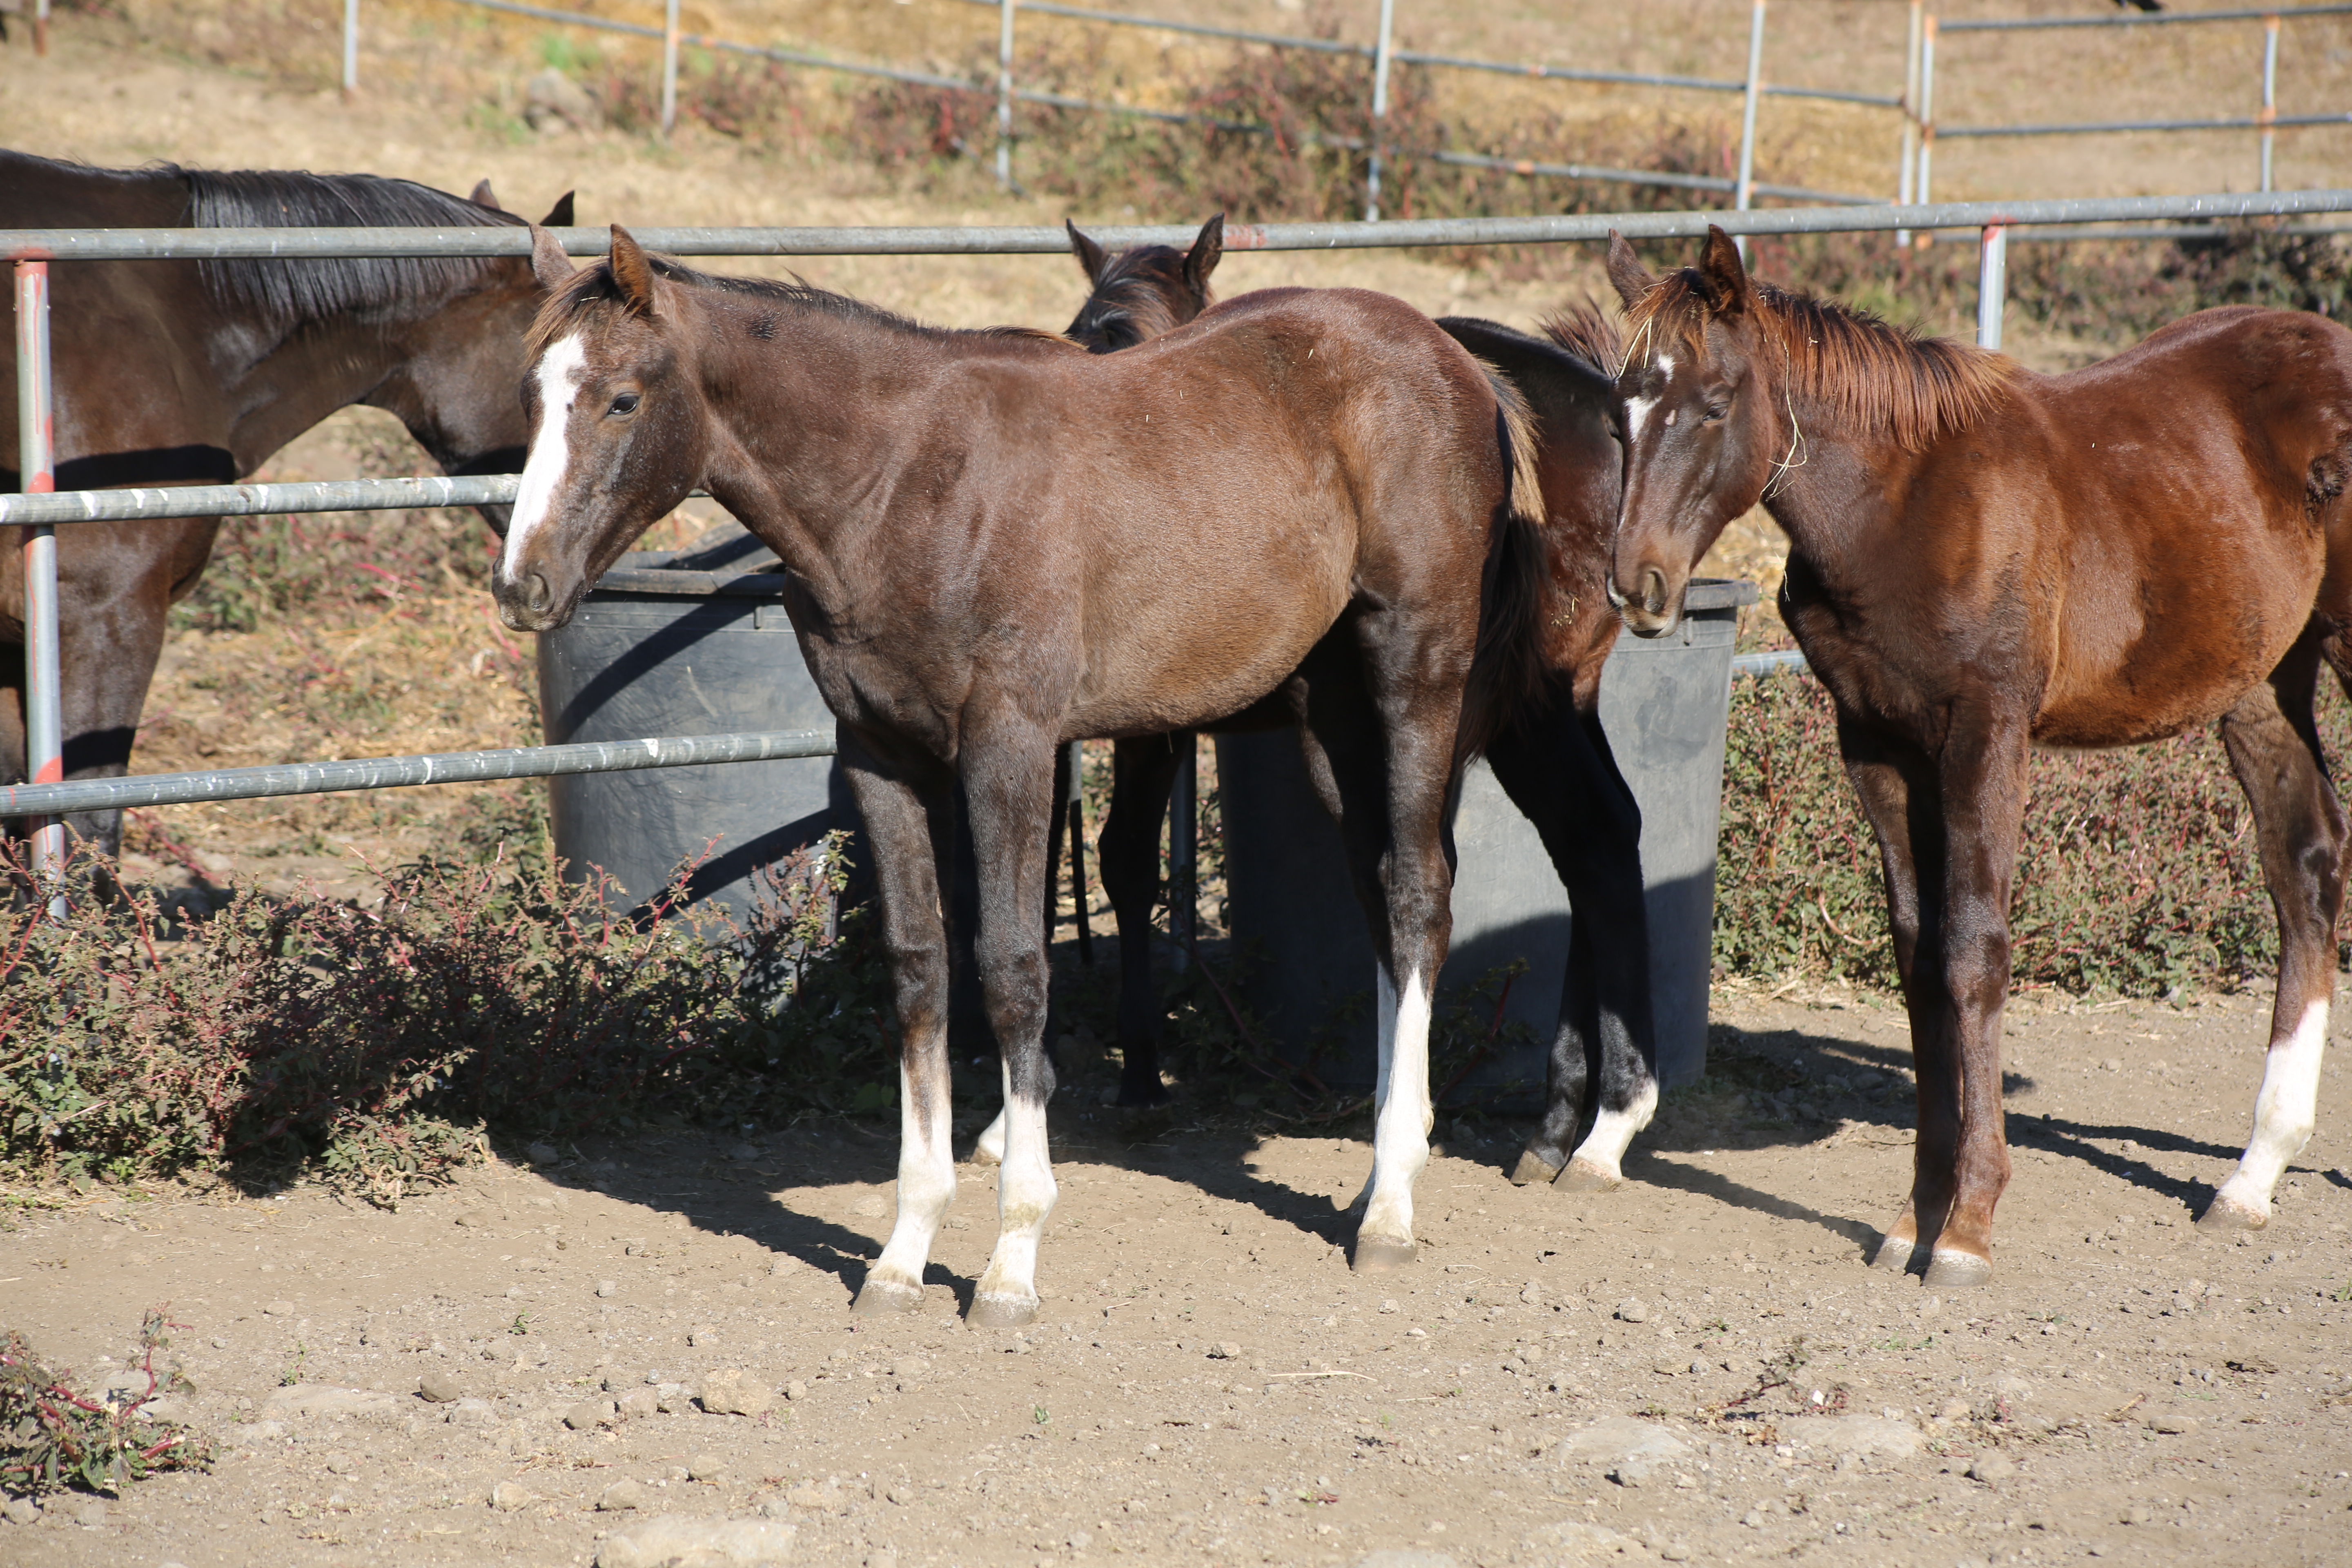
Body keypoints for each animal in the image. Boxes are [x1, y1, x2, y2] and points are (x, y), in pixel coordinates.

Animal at [506, 223, 1552, 1326]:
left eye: (621, 398)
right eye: (532, 395)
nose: (522, 583)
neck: (904, 484)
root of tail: (1456, 360)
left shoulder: (1009, 746)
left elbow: (1013, 970)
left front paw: (1011, 1261)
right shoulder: (879, 757)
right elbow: (921, 970)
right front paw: (903, 1251)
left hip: (1414, 670)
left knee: (1418, 895)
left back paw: (1390, 1205)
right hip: (1328, 708)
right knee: (1379, 896)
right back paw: (1374, 1170)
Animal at [1608, 227, 2352, 1297]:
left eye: (1712, 402)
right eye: (1618, 407)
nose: (1638, 587)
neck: (1899, 507)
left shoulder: (1985, 733)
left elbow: (1974, 953)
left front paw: (1966, 1225)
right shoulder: (1877, 742)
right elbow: (1919, 958)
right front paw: (1912, 1215)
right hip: (2261, 682)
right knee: (2304, 869)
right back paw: (2252, 1175)